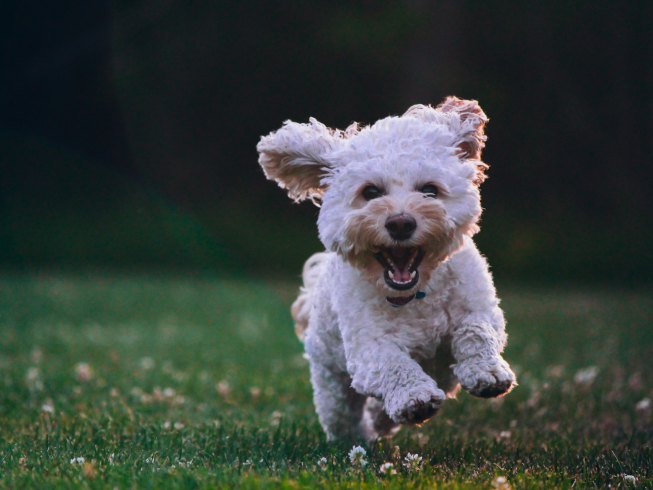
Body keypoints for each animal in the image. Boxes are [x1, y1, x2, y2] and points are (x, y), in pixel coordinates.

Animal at [255, 97, 516, 442]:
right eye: (370, 192)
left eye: (429, 190)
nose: (401, 223)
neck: (416, 294)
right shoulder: (368, 347)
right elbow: (393, 364)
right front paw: (414, 397)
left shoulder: (479, 306)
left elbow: (477, 331)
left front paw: (487, 372)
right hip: (331, 380)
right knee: (342, 415)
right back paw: (360, 437)